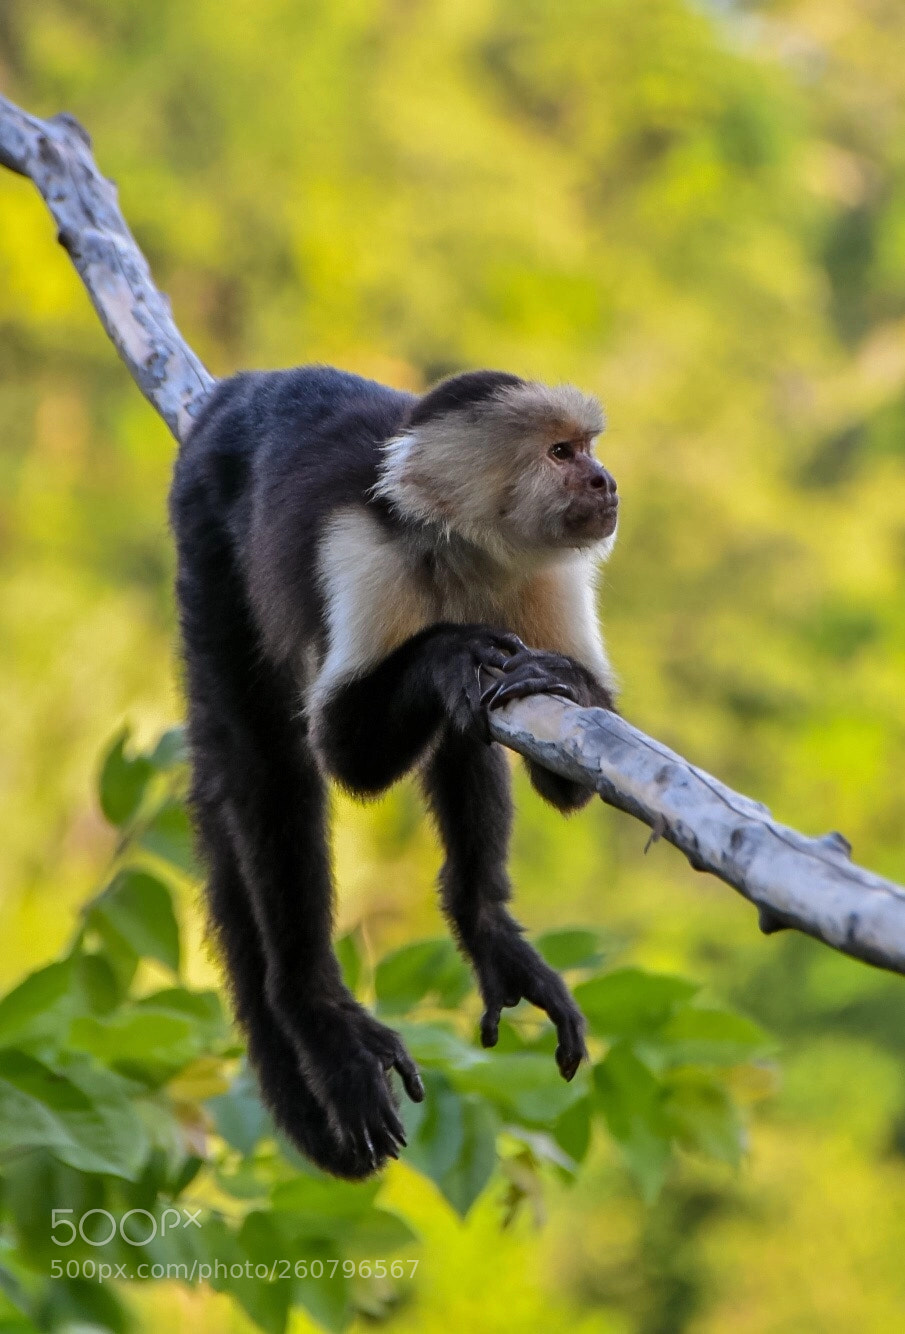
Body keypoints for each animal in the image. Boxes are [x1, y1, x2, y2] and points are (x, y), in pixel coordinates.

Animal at [169, 365, 619, 1179]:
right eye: (562, 452)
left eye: (587, 448)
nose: (605, 480)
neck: (464, 548)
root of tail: (252, 383)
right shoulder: (365, 552)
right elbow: (347, 756)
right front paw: (445, 652)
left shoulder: (545, 577)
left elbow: (571, 776)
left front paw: (562, 680)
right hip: (203, 515)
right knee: (264, 764)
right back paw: (311, 1006)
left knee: (460, 734)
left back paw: (483, 924)